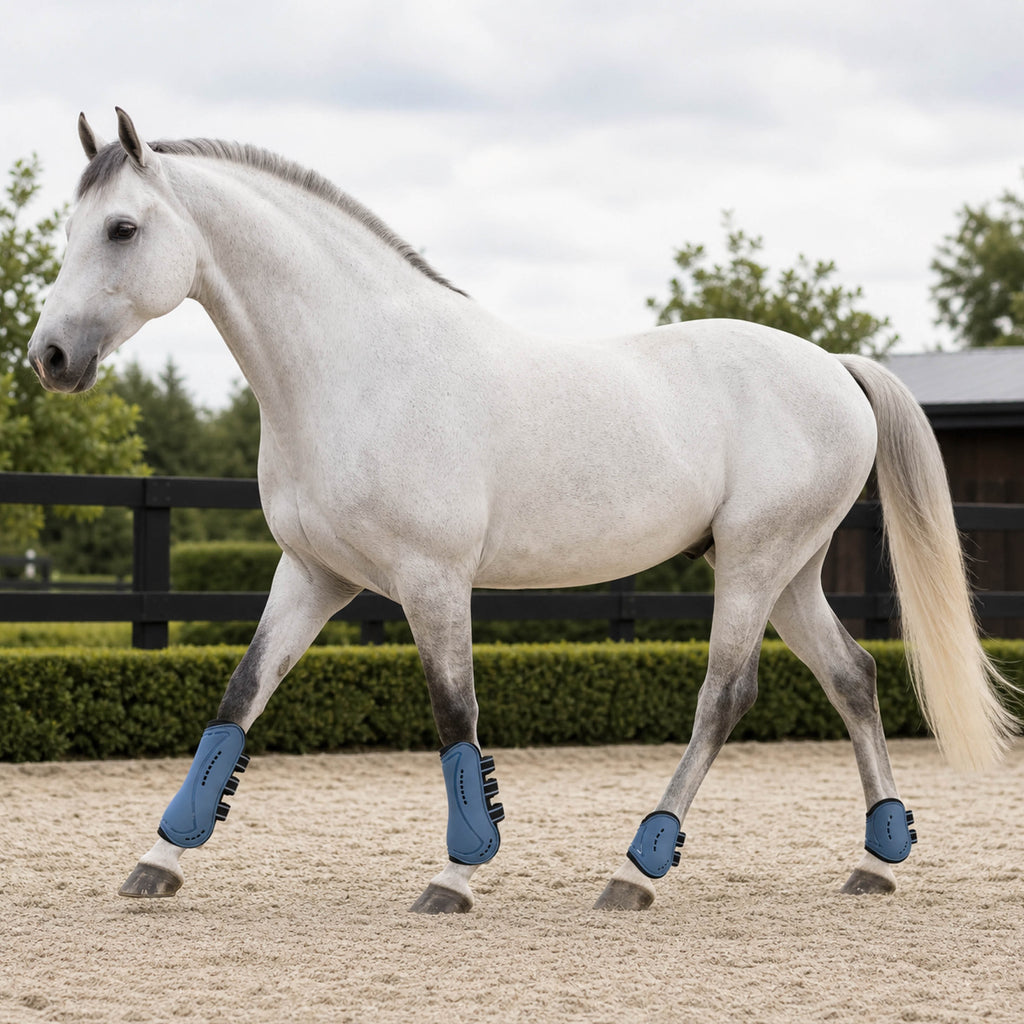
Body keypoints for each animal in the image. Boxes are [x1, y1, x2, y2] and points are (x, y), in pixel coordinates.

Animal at [28, 109, 1018, 913]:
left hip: (753, 564)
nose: (50, 357)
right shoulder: (313, 577)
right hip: (789, 572)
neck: (361, 369)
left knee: (724, 695)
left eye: (122, 228)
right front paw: (161, 856)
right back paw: (877, 859)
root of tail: (836, 370)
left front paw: (458, 874)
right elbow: (238, 701)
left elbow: (454, 715)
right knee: (852, 675)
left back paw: (637, 870)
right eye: (71, 228)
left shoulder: (432, 580)